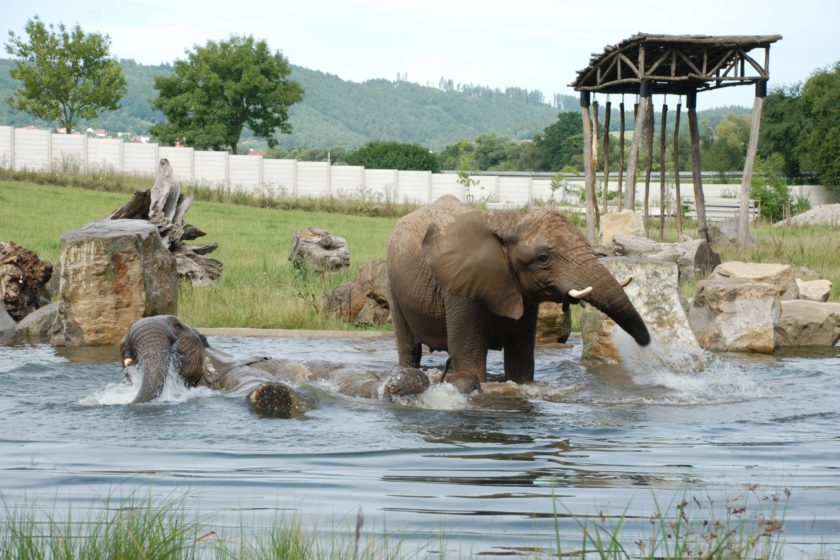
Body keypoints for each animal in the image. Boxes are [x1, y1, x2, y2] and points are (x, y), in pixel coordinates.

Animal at [386, 195, 648, 392]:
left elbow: (520, 362)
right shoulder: (462, 289)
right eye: (542, 258)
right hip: (393, 283)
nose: (645, 343)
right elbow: (471, 362)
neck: (509, 221)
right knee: (409, 346)